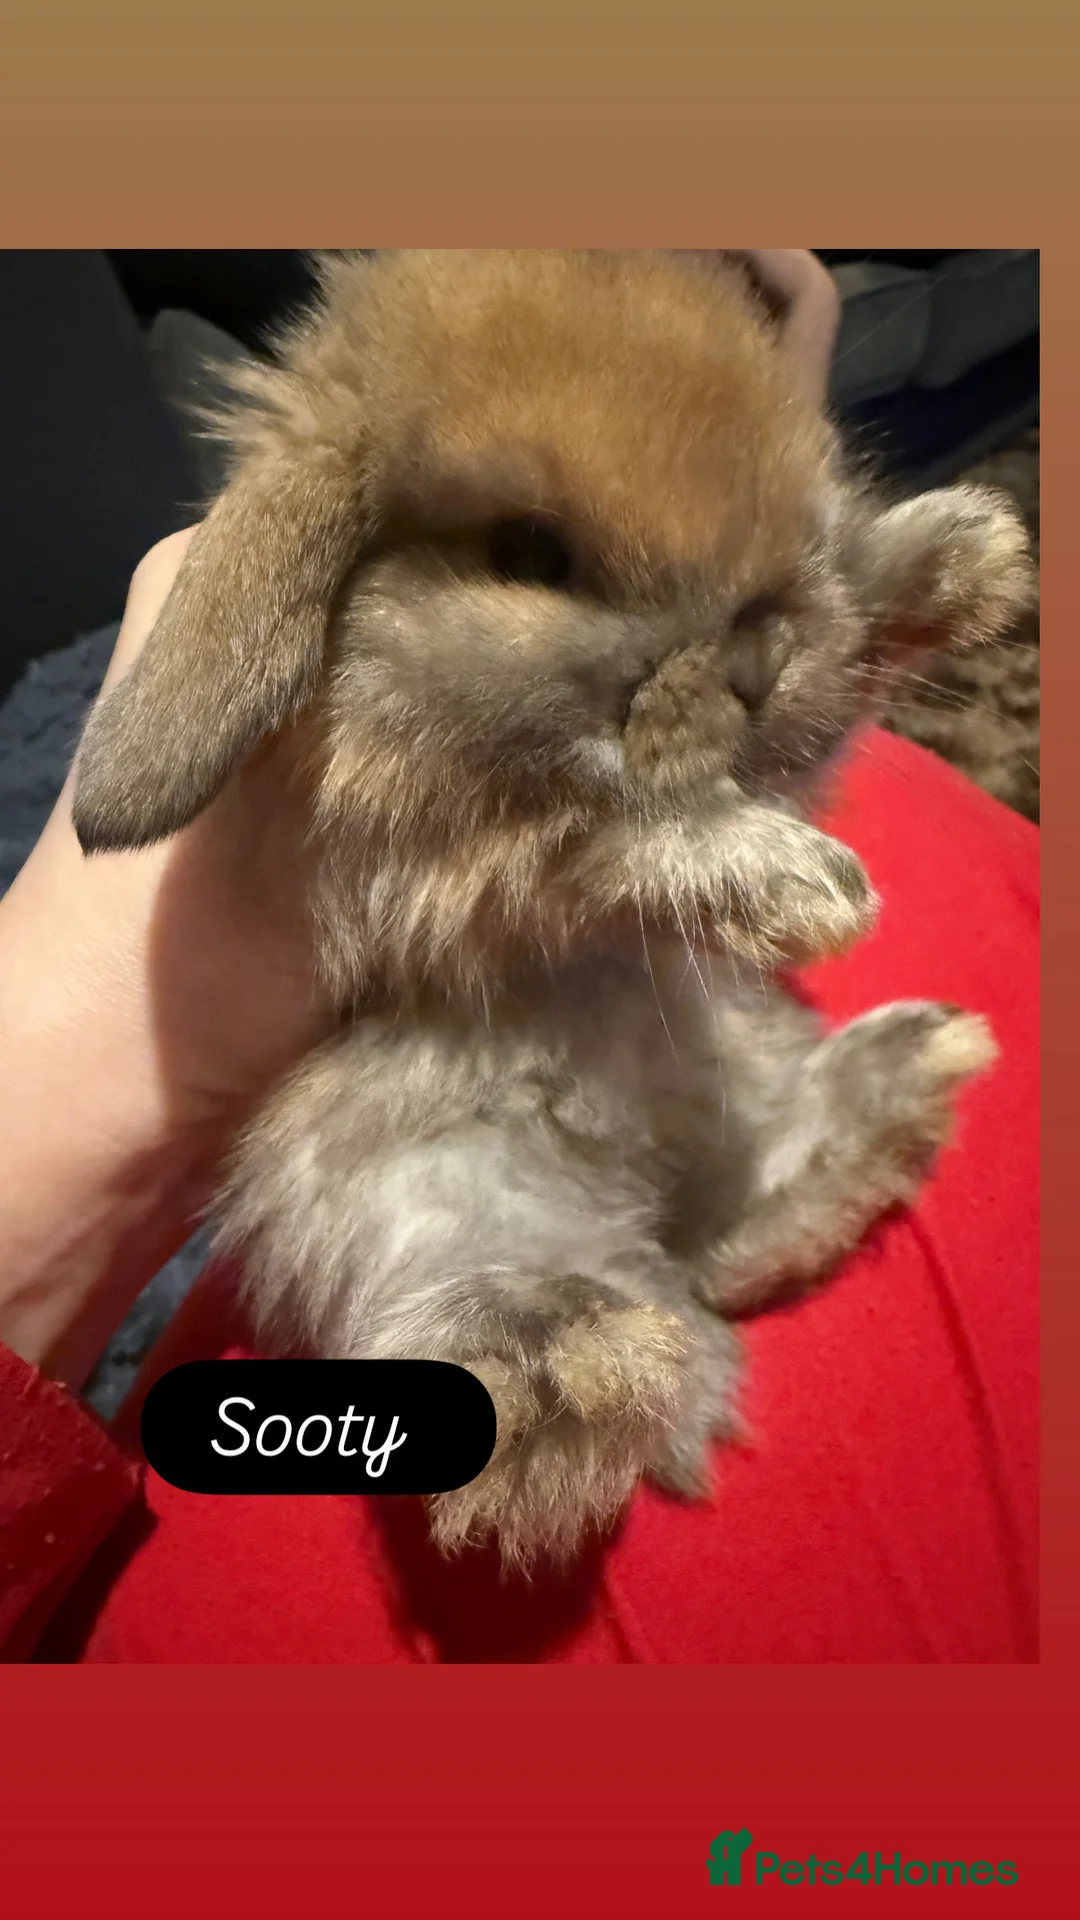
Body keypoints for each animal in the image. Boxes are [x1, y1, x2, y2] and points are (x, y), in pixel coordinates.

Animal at [72, 251, 1034, 1568]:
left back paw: (901, 1077)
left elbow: (829, 697)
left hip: (749, 1072)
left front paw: (970, 551)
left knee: (736, 1229)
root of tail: (654, 1185)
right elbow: (615, 845)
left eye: (795, 499)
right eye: (529, 551)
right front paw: (808, 887)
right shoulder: (444, 870)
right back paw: (569, 1367)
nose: (753, 664)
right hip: (423, 1205)